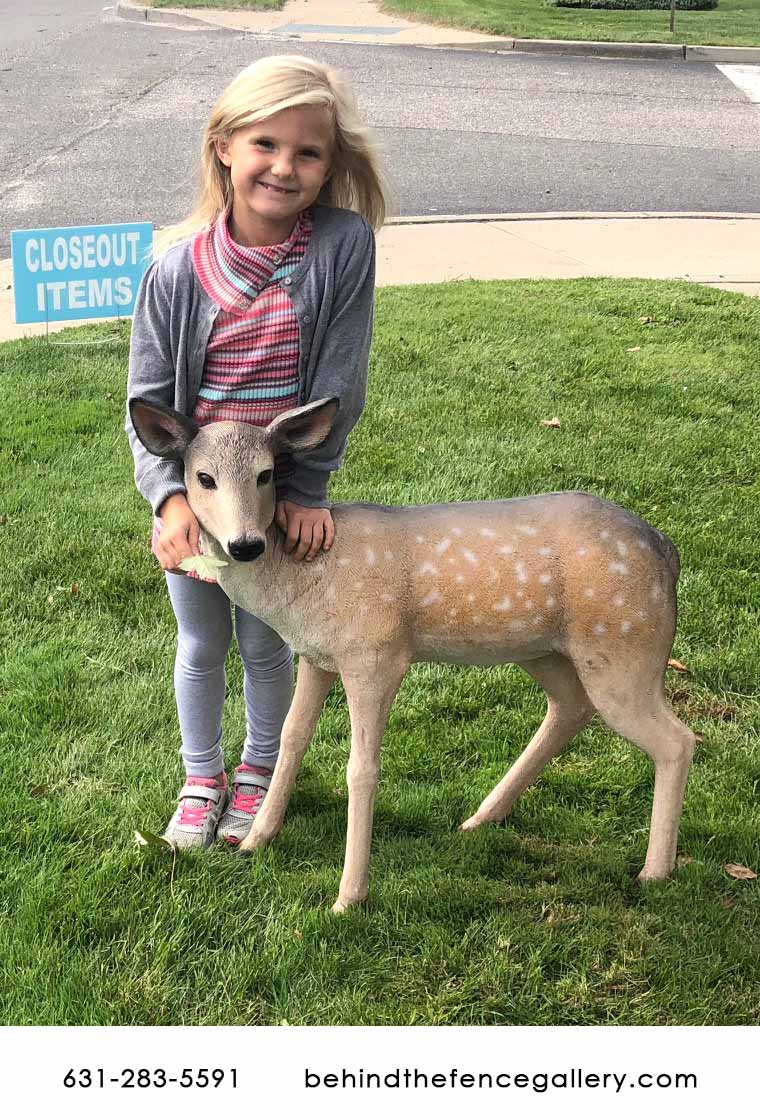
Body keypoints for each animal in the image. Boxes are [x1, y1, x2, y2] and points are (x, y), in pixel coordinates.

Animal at [129, 396, 695, 914]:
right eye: (203, 477)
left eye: (266, 474)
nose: (245, 544)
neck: (302, 587)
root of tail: (668, 553)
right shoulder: (319, 656)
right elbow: (292, 738)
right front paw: (254, 841)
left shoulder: (376, 652)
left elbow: (362, 768)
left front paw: (348, 897)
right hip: (546, 649)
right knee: (571, 707)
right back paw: (481, 817)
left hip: (625, 643)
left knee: (677, 739)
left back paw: (653, 872)